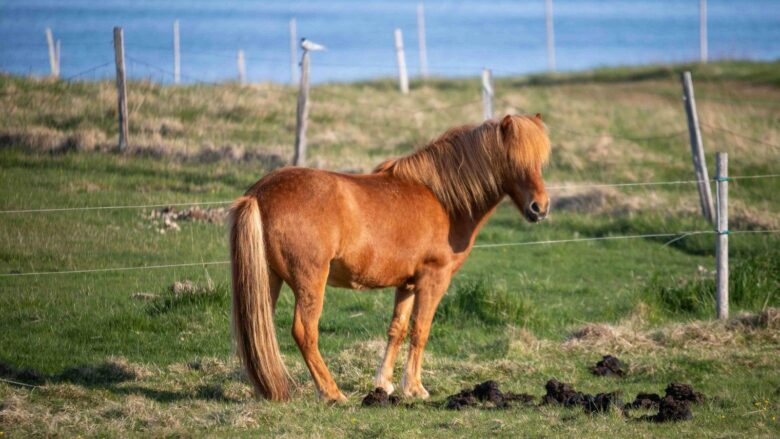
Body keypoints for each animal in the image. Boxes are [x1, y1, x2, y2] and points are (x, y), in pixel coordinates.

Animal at [229, 113, 552, 402]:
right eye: (514, 161)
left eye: (540, 163)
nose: (540, 208)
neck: (441, 199)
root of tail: (258, 194)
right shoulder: (433, 280)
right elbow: (421, 330)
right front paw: (415, 388)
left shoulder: (407, 284)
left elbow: (397, 329)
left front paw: (384, 384)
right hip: (310, 281)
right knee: (304, 332)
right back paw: (332, 393)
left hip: (267, 279)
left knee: (259, 329)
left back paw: (269, 388)